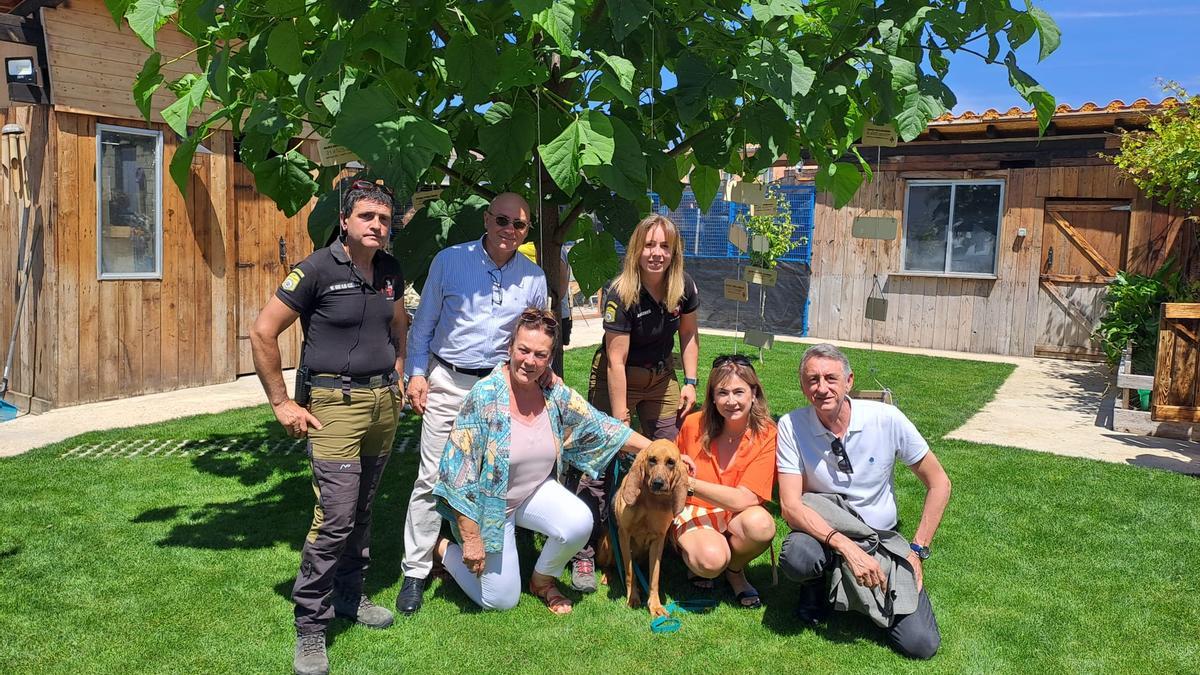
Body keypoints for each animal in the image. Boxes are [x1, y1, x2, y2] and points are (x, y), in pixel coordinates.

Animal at [597, 437, 691, 614]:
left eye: (671, 462)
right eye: (652, 460)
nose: (658, 483)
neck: (651, 501)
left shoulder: (658, 541)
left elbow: (654, 578)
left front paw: (655, 605)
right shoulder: (624, 536)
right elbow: (629, 573)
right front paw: (632, 598)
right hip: (608, 545)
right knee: (609, 566)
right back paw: (608, 576)